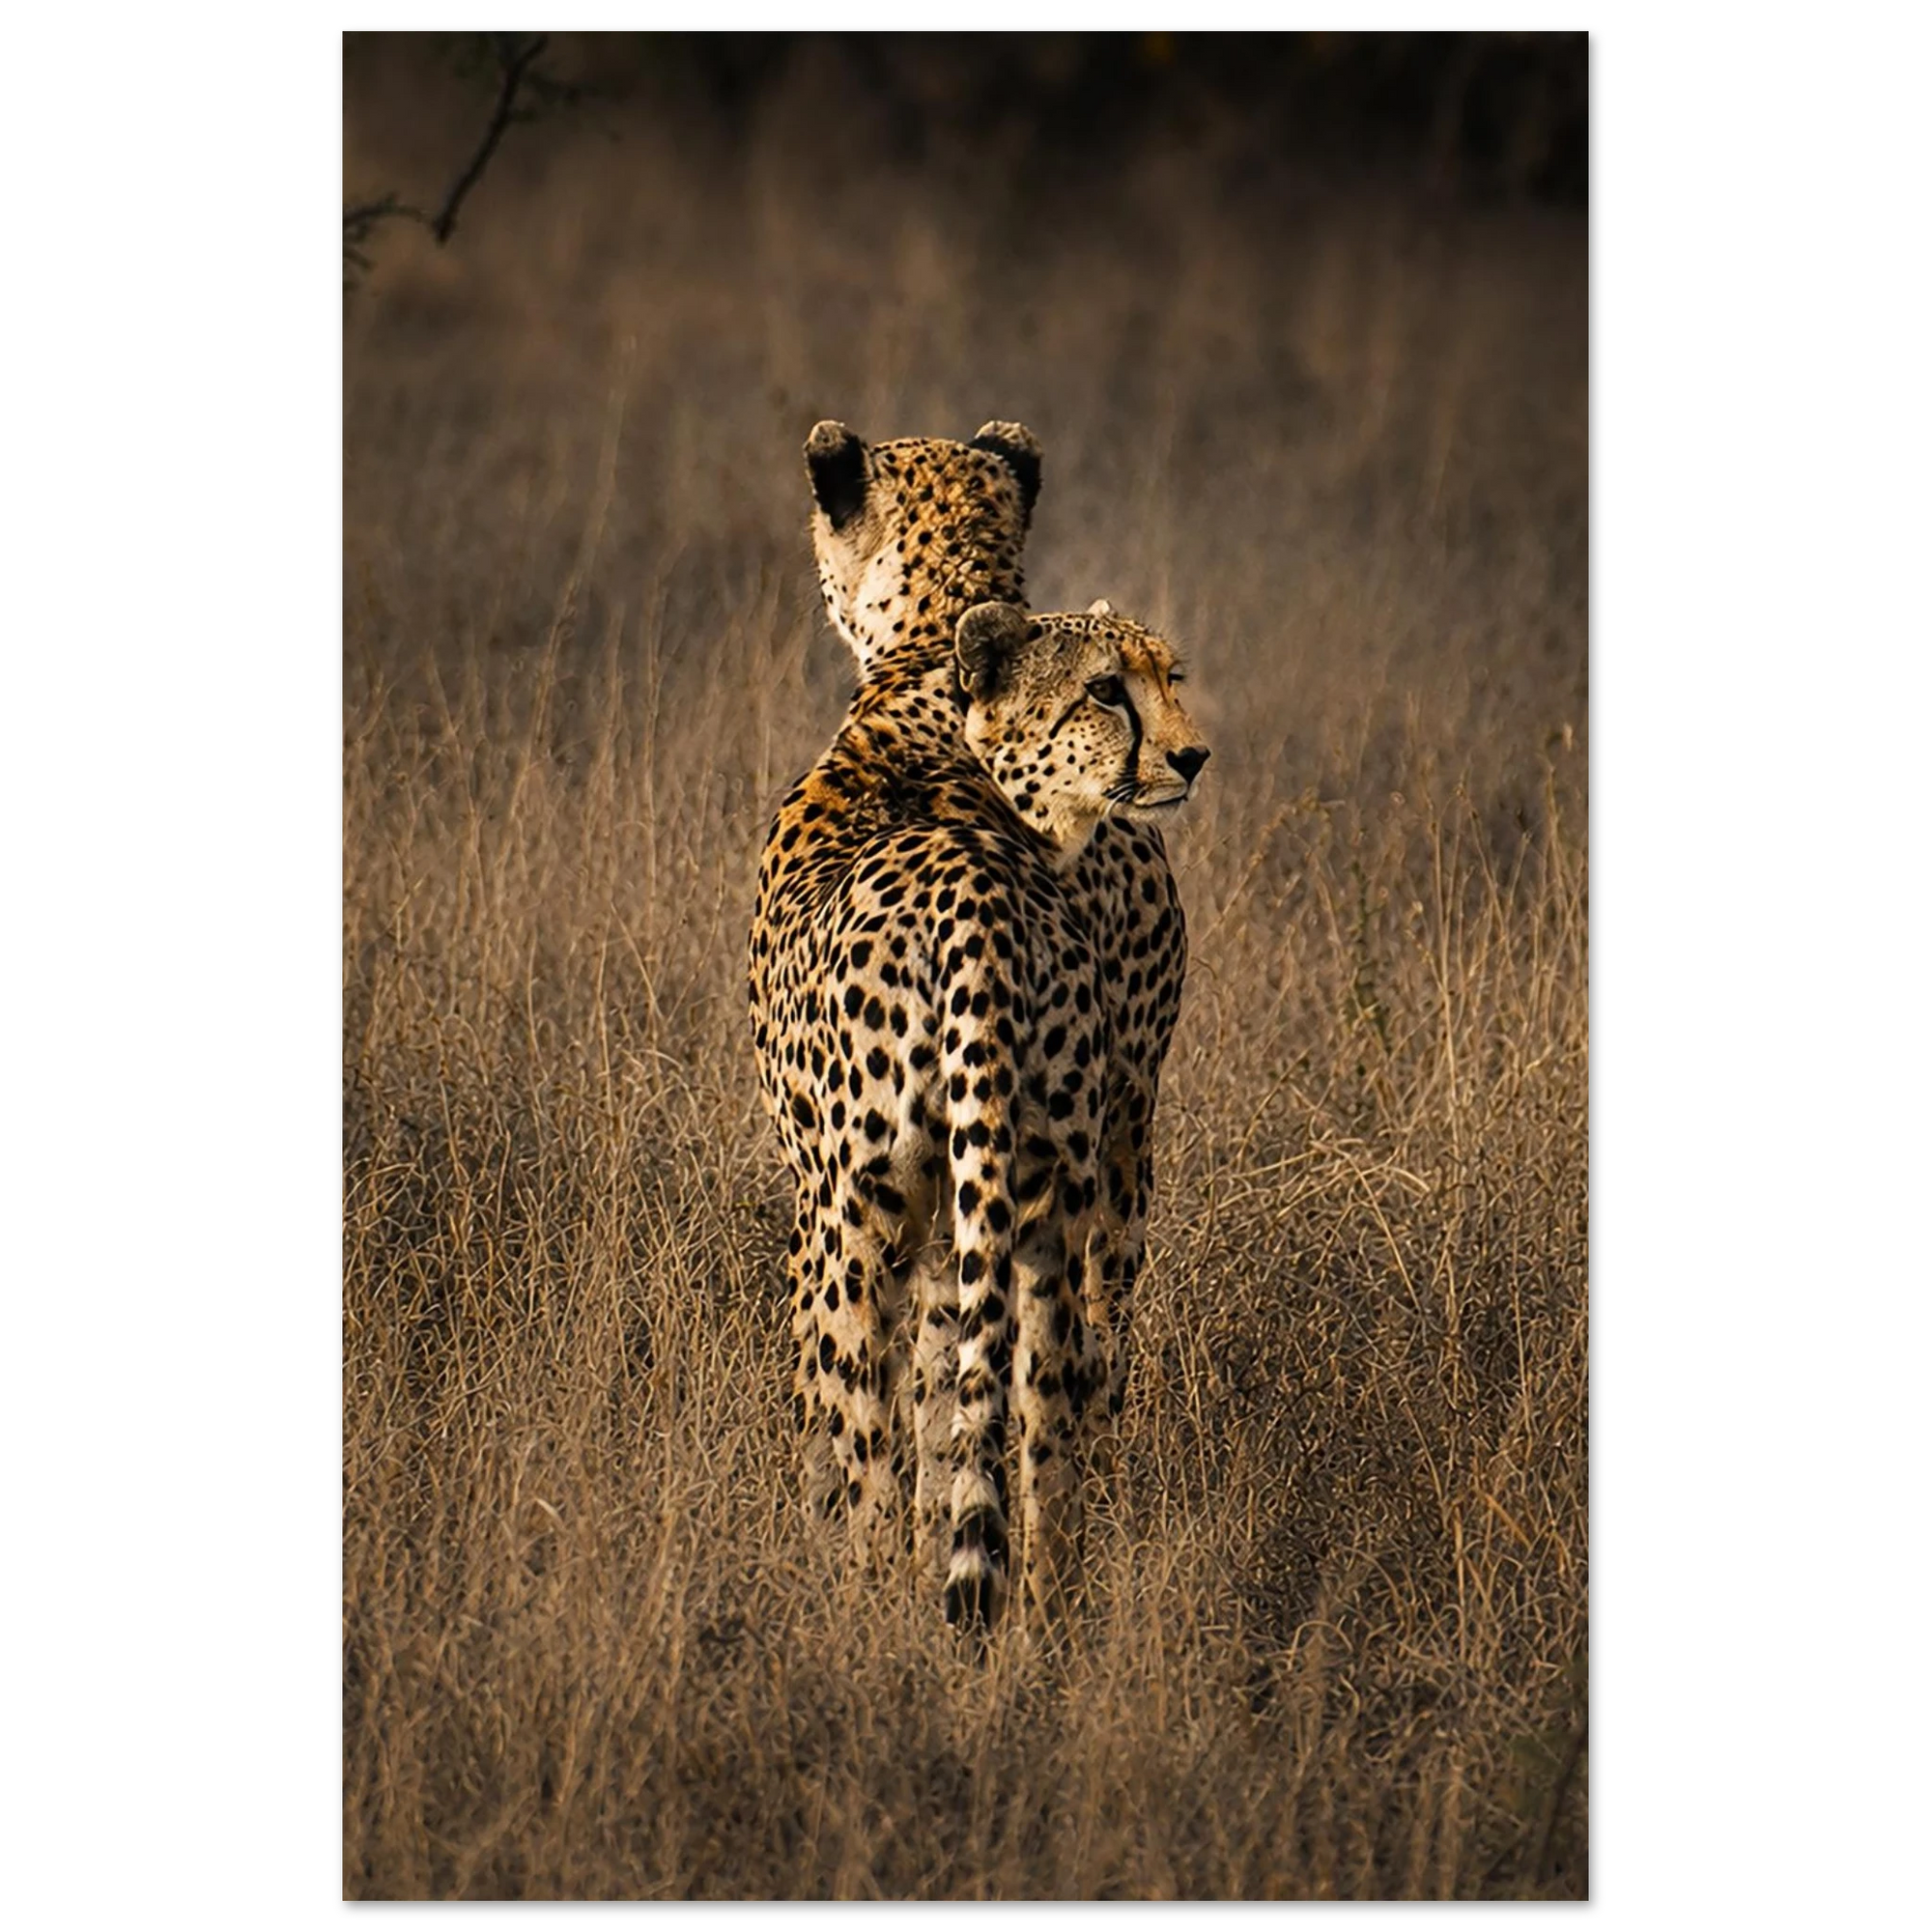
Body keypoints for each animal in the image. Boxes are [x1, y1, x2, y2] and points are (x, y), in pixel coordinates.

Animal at [748, 584, 1208, 1630]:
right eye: (1106, 690)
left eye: (1169, 675)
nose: (1193, 755)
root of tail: (978, 907)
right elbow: (951, 1398)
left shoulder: (824, 1201)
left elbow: (839, 1402)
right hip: (1042, 1200)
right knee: (1044, 1414)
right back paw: (1041, 1614)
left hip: (871, 1213)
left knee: (870, 1431)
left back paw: (868, 1609)